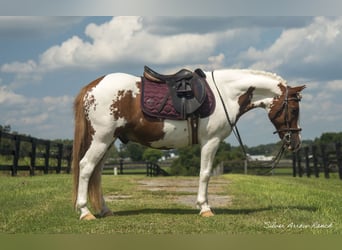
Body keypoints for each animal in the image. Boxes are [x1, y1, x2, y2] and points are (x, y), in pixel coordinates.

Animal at [71, 67, 304, 220]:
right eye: (293, 110)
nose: (295, 143)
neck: (225, 94)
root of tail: (92, 86)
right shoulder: (210, 141)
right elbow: (205, 173)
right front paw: (205, 208)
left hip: (108, 142)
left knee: (97, 172)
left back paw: (104, 210)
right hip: (101, 139)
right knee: (86, 168)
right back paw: (85, 212)